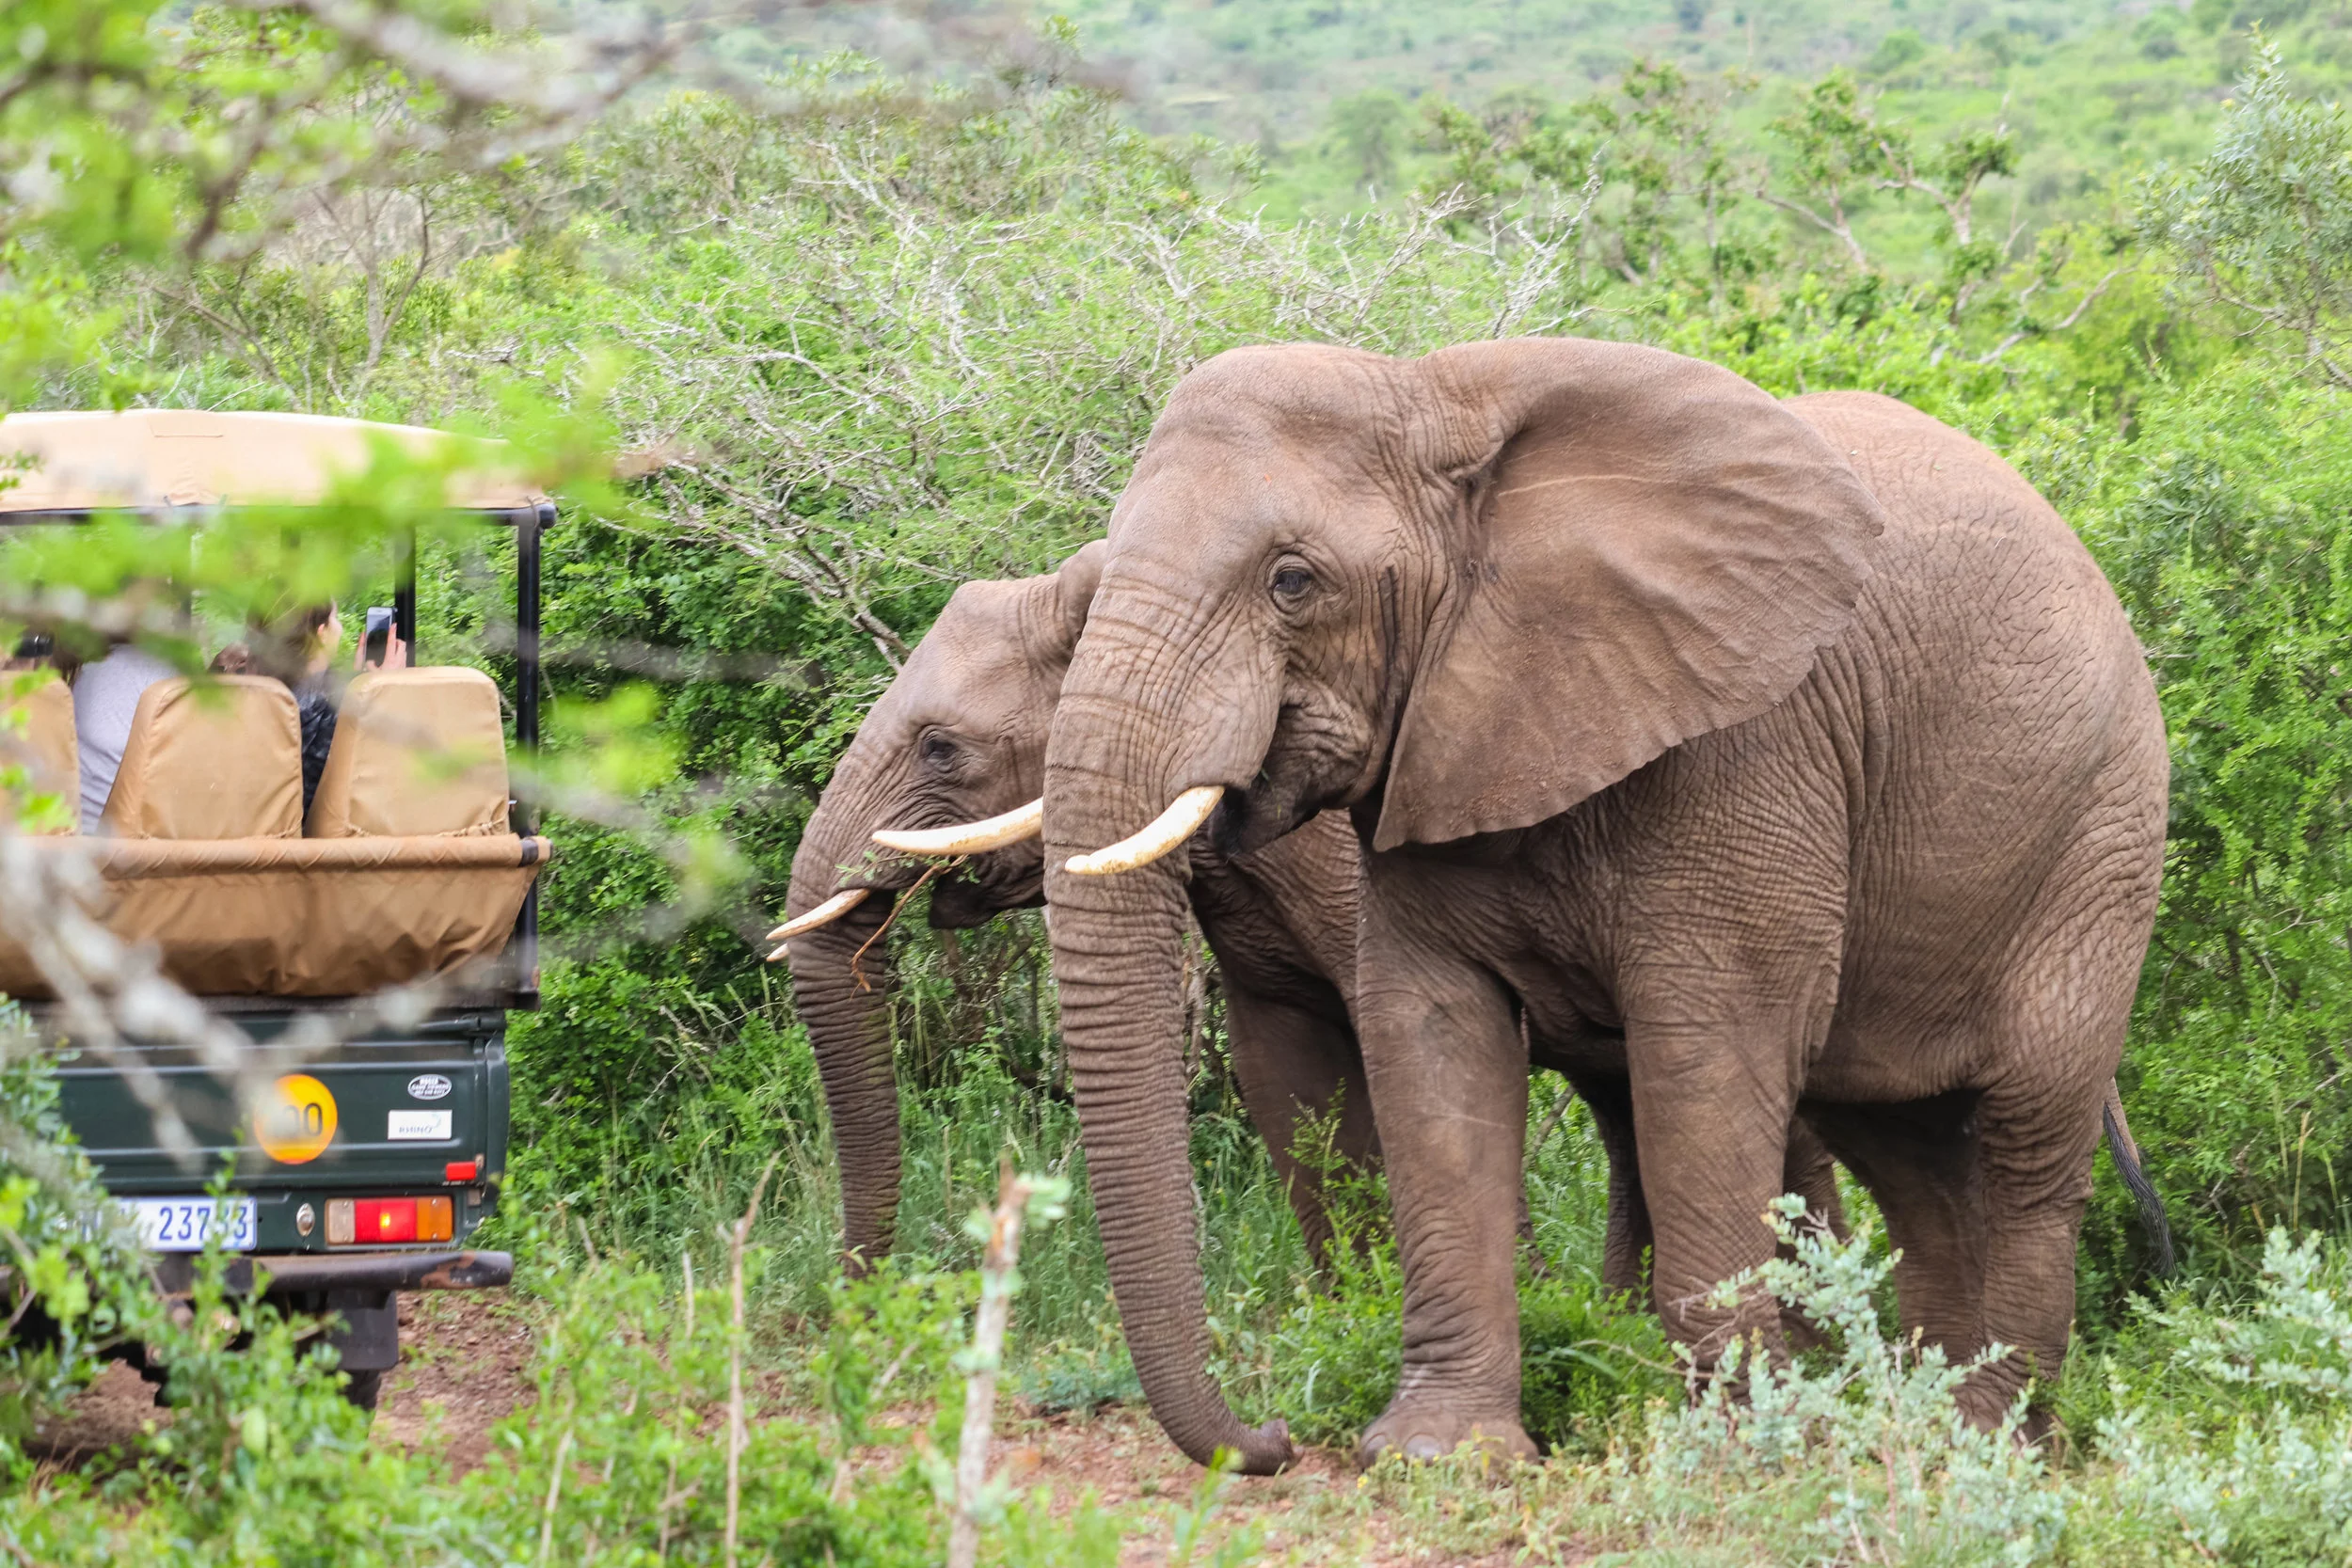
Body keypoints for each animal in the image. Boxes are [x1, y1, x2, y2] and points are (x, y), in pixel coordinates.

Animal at [1035, 337, 2168, 1473]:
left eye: (1292, 581)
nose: (1268, 1439)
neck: (1435, 395)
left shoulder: (1750, 742)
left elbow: (1708, 1061)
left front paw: (1732, 1450)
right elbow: (1430, 1041)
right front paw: (1439, 1455)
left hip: (2102, 834)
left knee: (2029, 1139)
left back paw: (1990, 1445)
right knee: (1908, 1148)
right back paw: (1927, 1432)